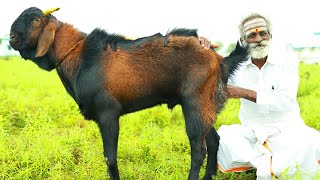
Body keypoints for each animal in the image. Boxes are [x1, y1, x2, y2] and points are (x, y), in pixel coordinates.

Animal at [8, 6, 248, 179]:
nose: (10, 37)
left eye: (36, 20)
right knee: (214, 140)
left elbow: (110, 158)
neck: (79, 56)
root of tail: (221, 60)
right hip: (204, 106)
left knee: (199, 150)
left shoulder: (108, 114)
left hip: (194, 104)